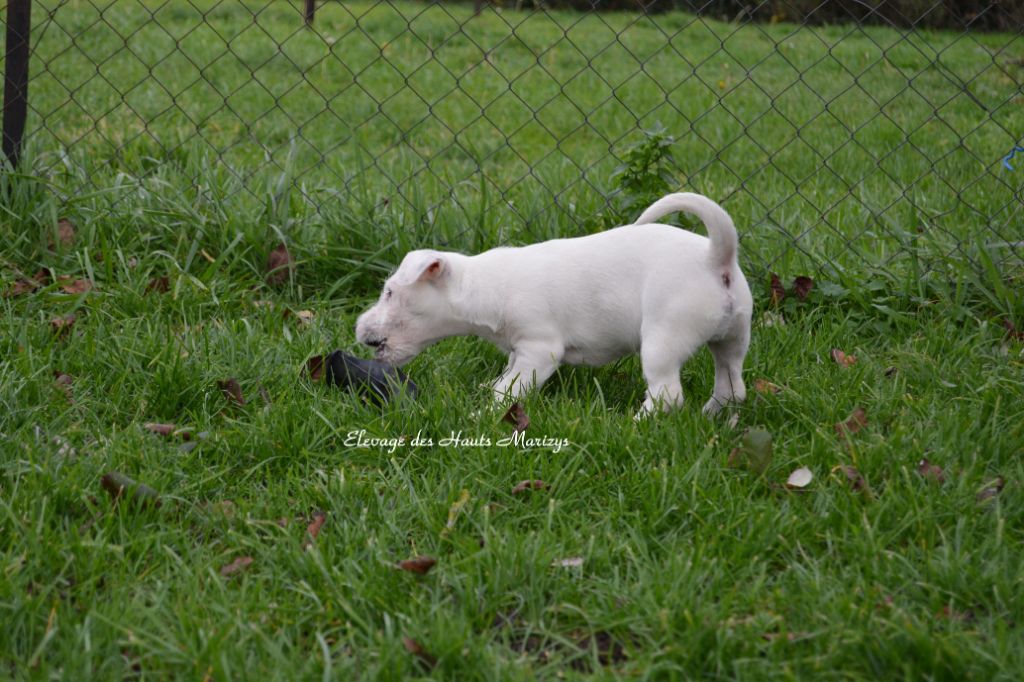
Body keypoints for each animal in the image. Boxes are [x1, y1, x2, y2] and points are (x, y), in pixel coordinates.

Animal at [355, 192, 752, 416]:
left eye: (389, 292)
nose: (360, 332)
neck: (482, 285)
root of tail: (716, 258)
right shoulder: (518, 349)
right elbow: (505, 374)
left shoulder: (538, 350)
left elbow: (509, 389)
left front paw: (482, 414)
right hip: (732, 339)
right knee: (732, 388)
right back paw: (711, 416)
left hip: (662, 342)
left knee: (667, 395)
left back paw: (636, 423)